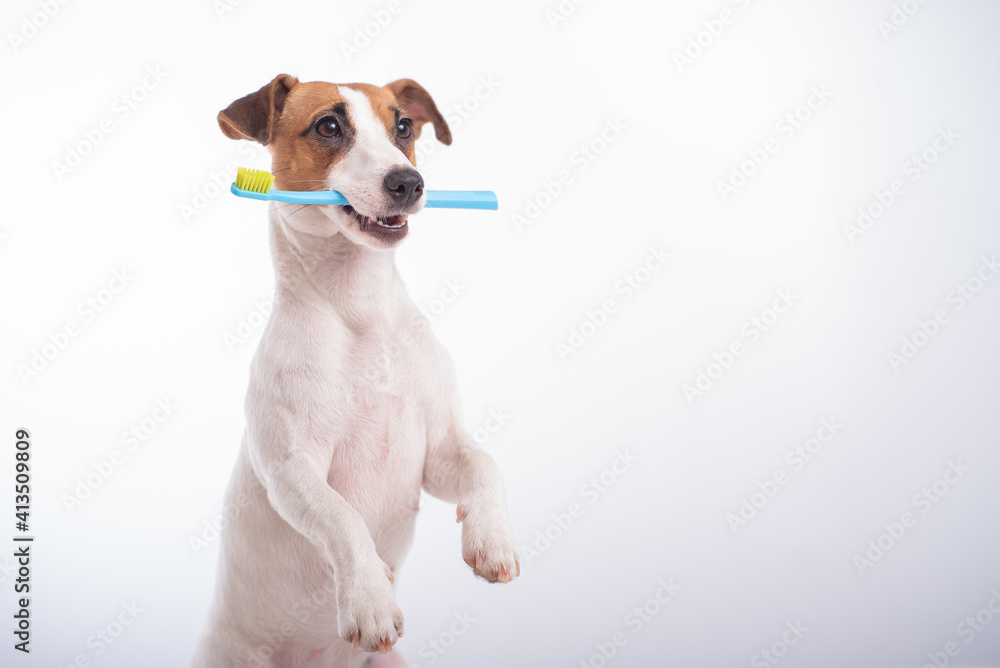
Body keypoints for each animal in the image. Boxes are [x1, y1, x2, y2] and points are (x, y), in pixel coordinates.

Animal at [192, 73, 524, 668]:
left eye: (404, 127)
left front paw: (492, 539)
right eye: (328, 125)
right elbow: (343, 518)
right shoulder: (291, 471)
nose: (409, 182)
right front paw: (369, 598)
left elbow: (484, 464)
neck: (360, 310)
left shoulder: (439, 452)